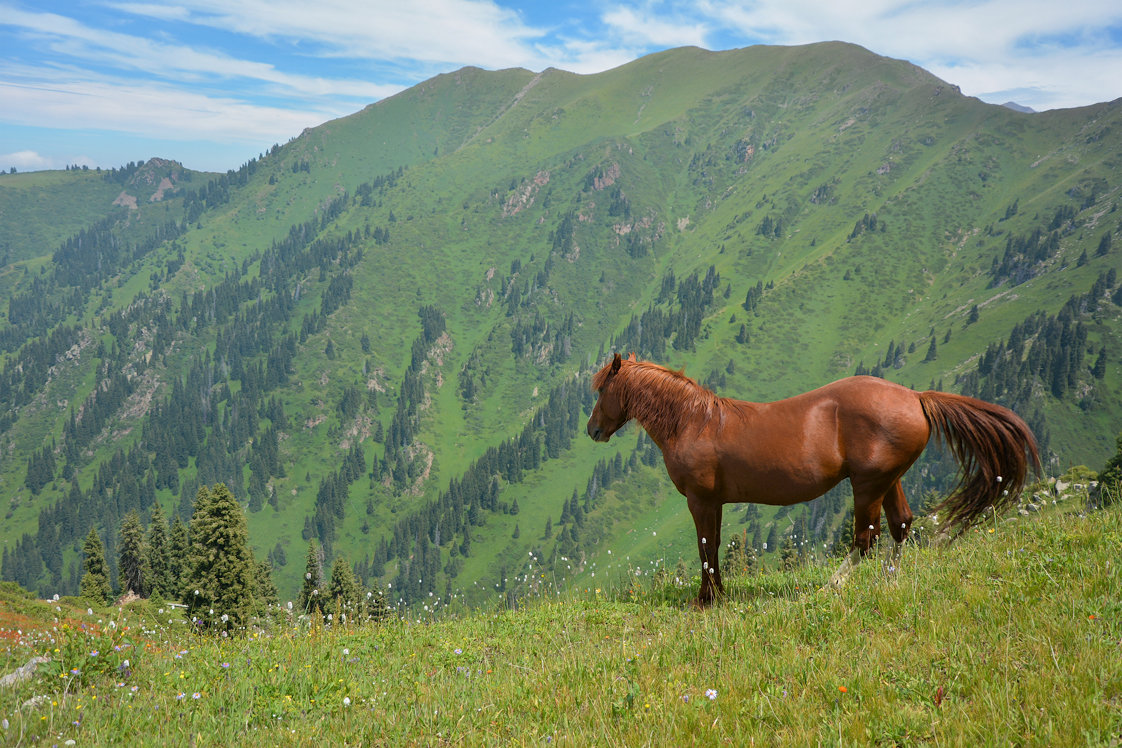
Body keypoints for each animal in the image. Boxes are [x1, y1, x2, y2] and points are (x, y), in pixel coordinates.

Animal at [587, 354, 1041, 605]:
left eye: (601, 390)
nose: (592, 430)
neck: (694, 422)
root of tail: (916, 397)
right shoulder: (713, 502)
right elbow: (712, 546)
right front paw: (717, 594)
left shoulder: (699, 500)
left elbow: (705, 548)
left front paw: (706, 599)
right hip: (888, 480)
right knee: (900, 526)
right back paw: (890, 582)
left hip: (867, 485)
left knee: (866, 539)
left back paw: (830, 587)